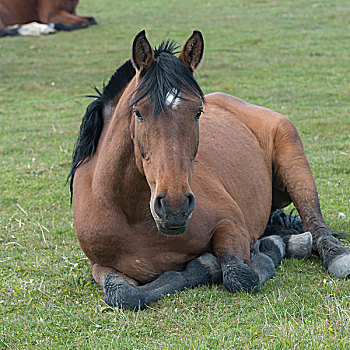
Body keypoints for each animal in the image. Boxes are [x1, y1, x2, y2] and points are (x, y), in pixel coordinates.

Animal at [69, 30, 350, 308]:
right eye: (138, 112)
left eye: (198, 112)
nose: (174, 207)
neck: (132, 218)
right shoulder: (100, 266)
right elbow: (122, 295)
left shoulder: (231, 224)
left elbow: (239, 275)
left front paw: (260, 251)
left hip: (295, 166)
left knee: (316, 223)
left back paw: (333, 255)